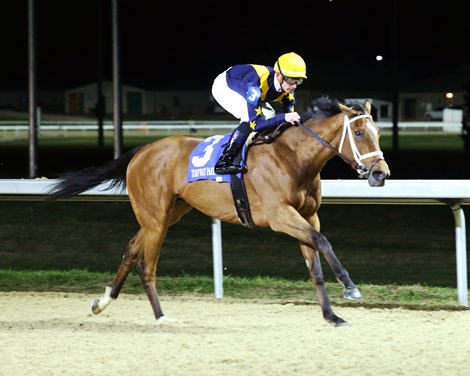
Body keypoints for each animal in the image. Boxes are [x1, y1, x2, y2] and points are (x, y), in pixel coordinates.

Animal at [49, 96, 392, 326]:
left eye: (378, 133)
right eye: (358, 134)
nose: (381, 174)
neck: (293, 157)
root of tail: (142, 150)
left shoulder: (308, 216)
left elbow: (315, 265)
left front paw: (331, 315)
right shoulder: (280, 216)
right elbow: (323, 243)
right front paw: (351, 288)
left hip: (169, 213)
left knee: (132, 250)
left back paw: (102, 303)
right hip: (155, 217)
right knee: (147, 265)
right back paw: (160, 316)